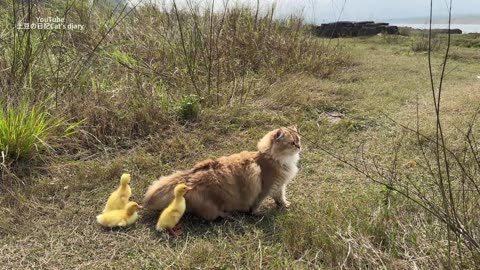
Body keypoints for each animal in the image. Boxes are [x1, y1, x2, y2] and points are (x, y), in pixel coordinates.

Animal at [142, 125, 300, 220]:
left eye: (299, 140)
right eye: (292, 143)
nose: (299, 147)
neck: (274, 158)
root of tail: (190, 176)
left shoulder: (279, 186)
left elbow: (280, 198)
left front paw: (284, 205)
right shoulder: (265, 188)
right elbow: (256, 204)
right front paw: (257, 213)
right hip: (214, 204)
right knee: (212, 216)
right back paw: (229, 215)